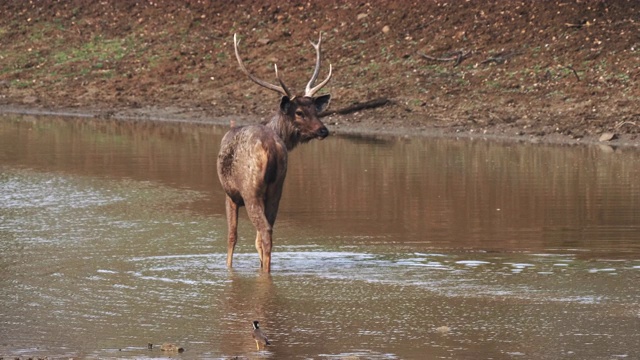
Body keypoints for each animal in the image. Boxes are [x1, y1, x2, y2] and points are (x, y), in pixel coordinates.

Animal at [218, 33, 332, 272]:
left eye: (315, 110)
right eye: (300, 112)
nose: (323, 130)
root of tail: (270, 148)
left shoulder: (229, 194)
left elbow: (232, 236)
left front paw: (228, 268)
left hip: (250, 189)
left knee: (264, 231)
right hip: (277, 187)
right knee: (266, 234)